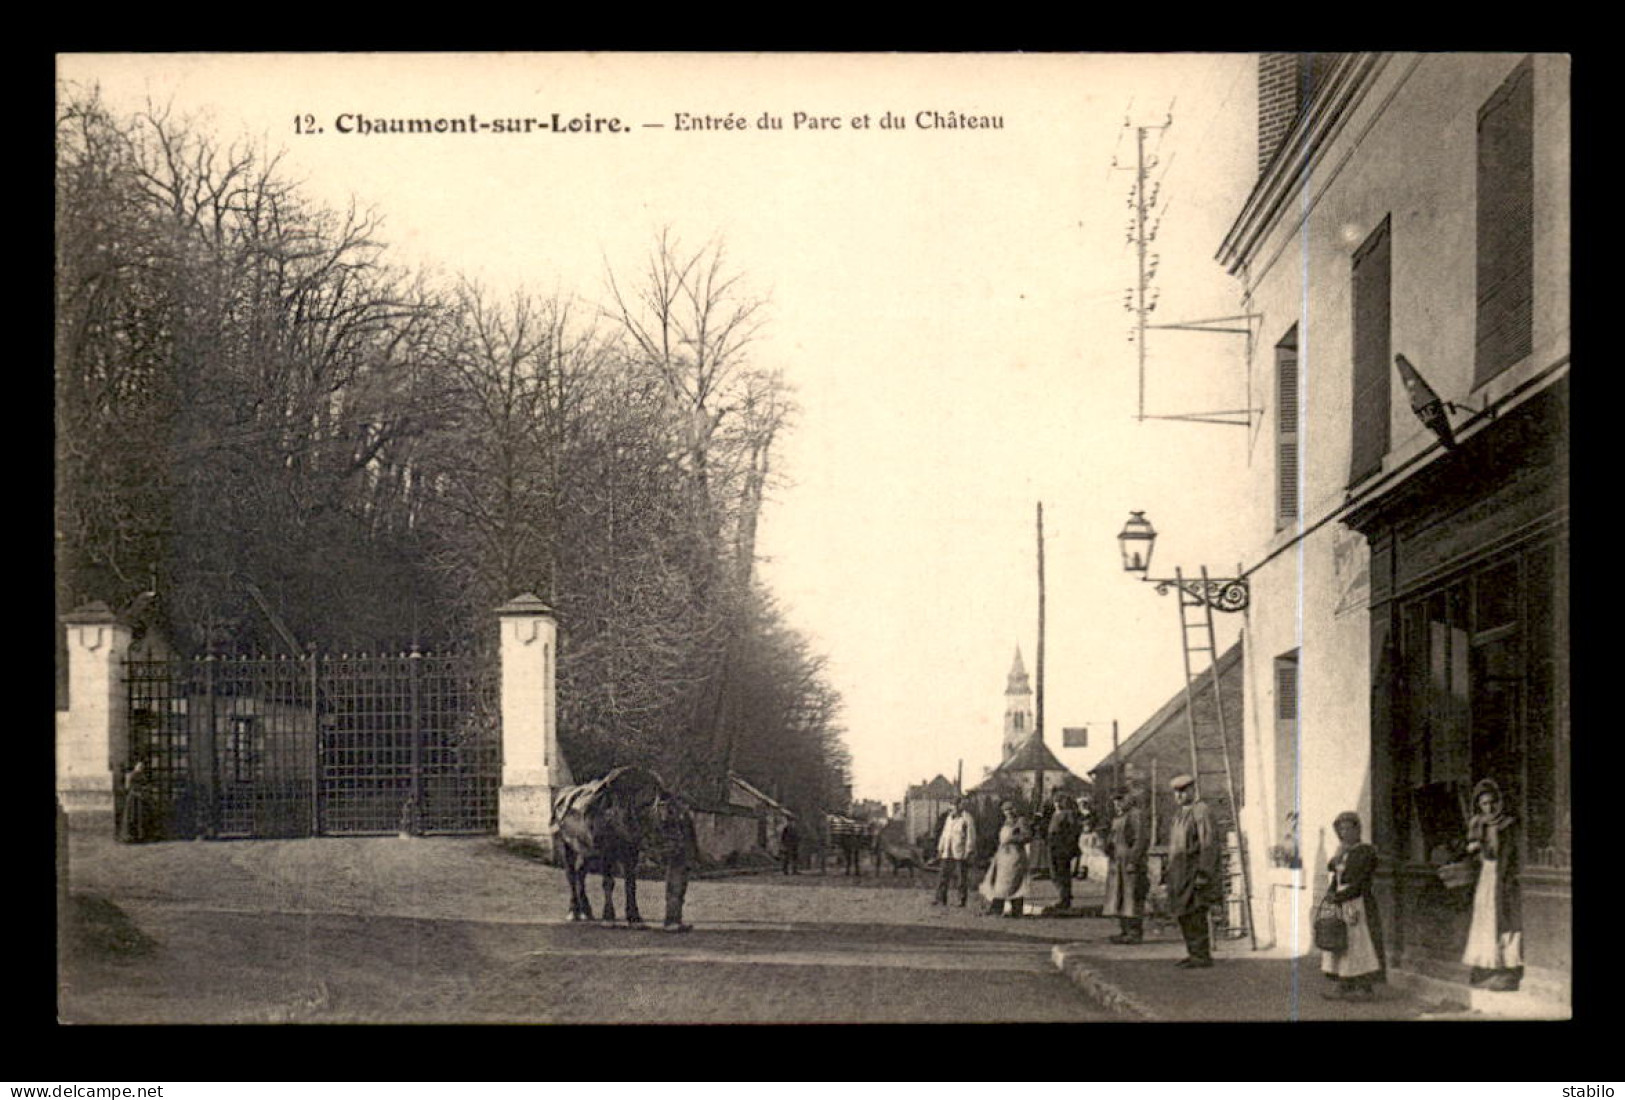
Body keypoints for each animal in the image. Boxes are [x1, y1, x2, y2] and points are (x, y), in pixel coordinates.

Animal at [549, 763, 669, 929]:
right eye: (661, 819)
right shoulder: (606, 852)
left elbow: (630, 884)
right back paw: (573, 911)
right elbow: (608, 882)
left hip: (589, 851)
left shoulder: (631, 853)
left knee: (581, 873)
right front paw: (608, 917)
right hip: (567, 845)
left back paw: (586, 911)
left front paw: (635, 918)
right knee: (571, 875)